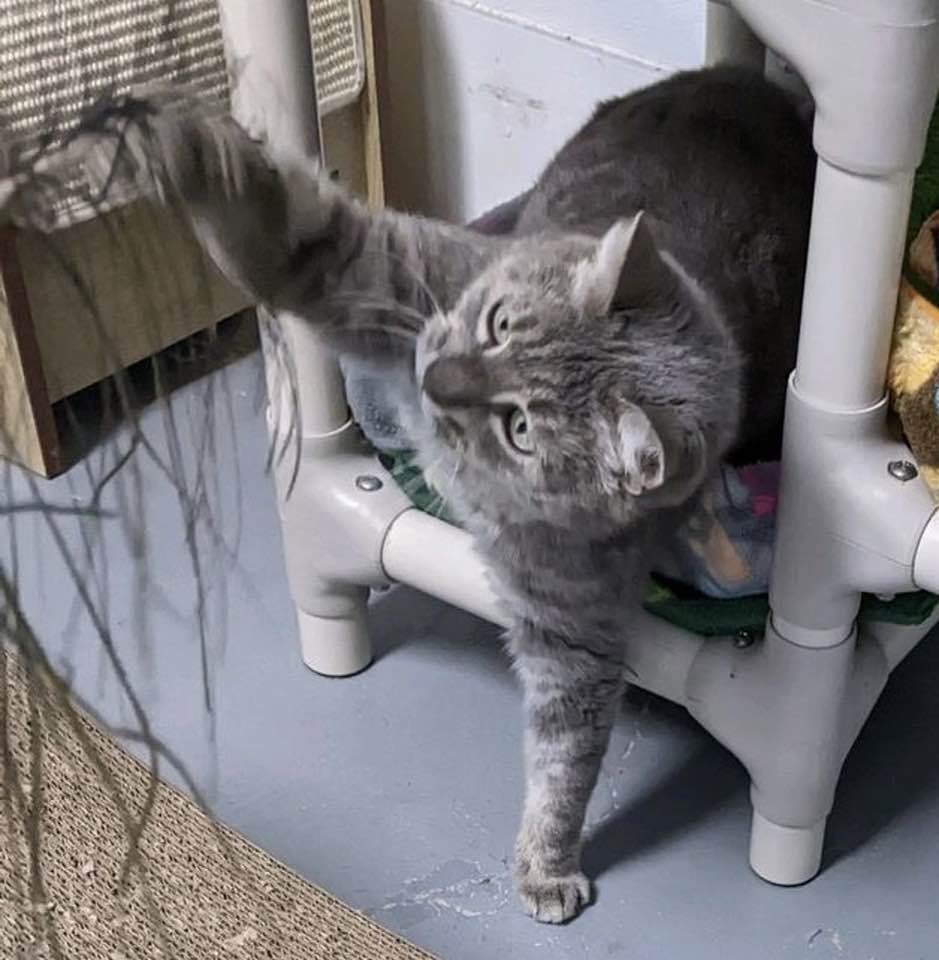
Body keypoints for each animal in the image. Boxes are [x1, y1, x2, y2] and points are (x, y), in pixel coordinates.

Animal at [86, 67, 816, 924]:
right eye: (497, 323)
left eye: (521, 427)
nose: (435, 378)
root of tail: (750, 82)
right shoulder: (388, 271)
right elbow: (291, 228)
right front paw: (180, 143)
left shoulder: (572, 620)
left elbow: (565, 754)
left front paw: (547, 860)